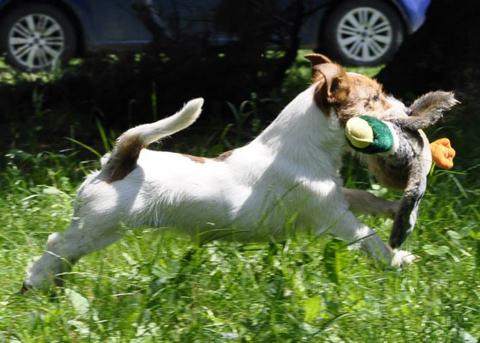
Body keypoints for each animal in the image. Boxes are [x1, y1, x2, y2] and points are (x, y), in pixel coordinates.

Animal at [22, 55, 414, 292]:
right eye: (375, 99)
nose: (409, 109)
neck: (301, 145)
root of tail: (118, 162)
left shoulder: (335, 195)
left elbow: (365, 197)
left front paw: (395, 209)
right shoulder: (333, 215)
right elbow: (368, 238)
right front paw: (399, 259)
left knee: (64, 253)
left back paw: (55, 284)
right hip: (100, 227)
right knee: (57, 244)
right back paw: (34, 284)